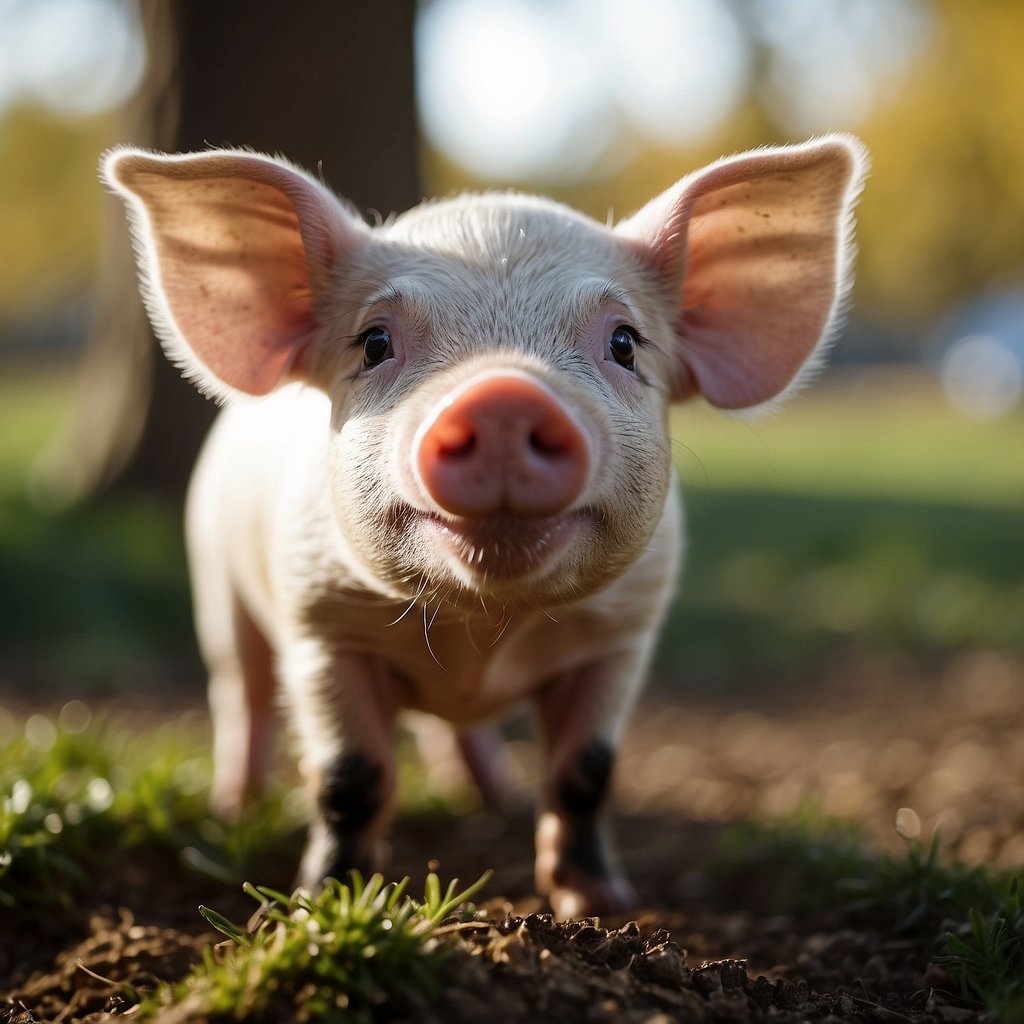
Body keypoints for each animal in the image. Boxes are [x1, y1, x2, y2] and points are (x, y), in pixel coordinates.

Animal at [103, 134, 866, 919]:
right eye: (373, 343)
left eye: (625, 343)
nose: (503, 393)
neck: (483, 628)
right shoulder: (321, 627)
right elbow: (350, 777)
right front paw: (325, 902)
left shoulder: (622, 638)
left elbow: (586, 774)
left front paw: (599, 904)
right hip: (216, 581)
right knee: (241, 695)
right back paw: (236, 806)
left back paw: (492, 797)